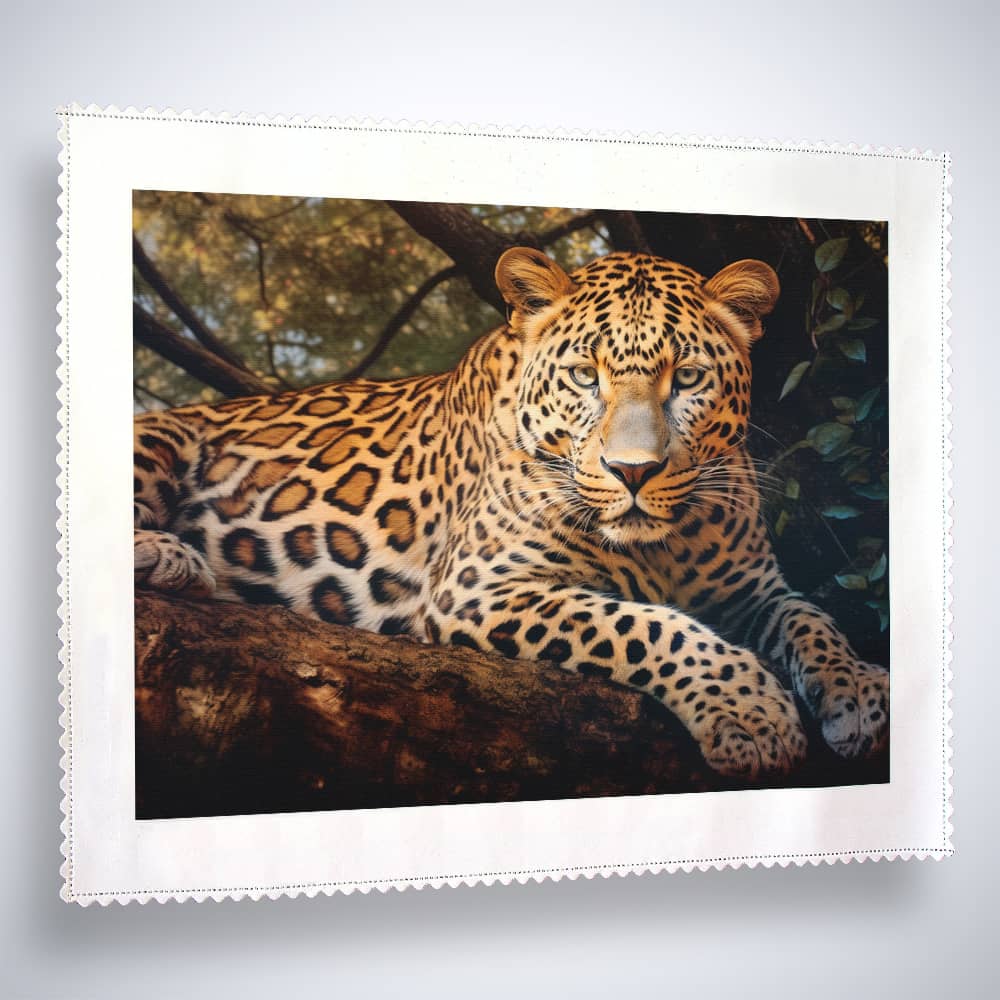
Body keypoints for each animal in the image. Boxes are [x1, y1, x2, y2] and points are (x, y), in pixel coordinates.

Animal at [134, 247, 889, 779]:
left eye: (688, 379)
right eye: (585, 376)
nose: (634, 472)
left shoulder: (753, 592)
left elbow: (813, 621)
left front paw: (858, 694)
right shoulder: (482, 587)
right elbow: (646, 625)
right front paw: (750, 712)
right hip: (160, 437)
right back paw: (169, 558)